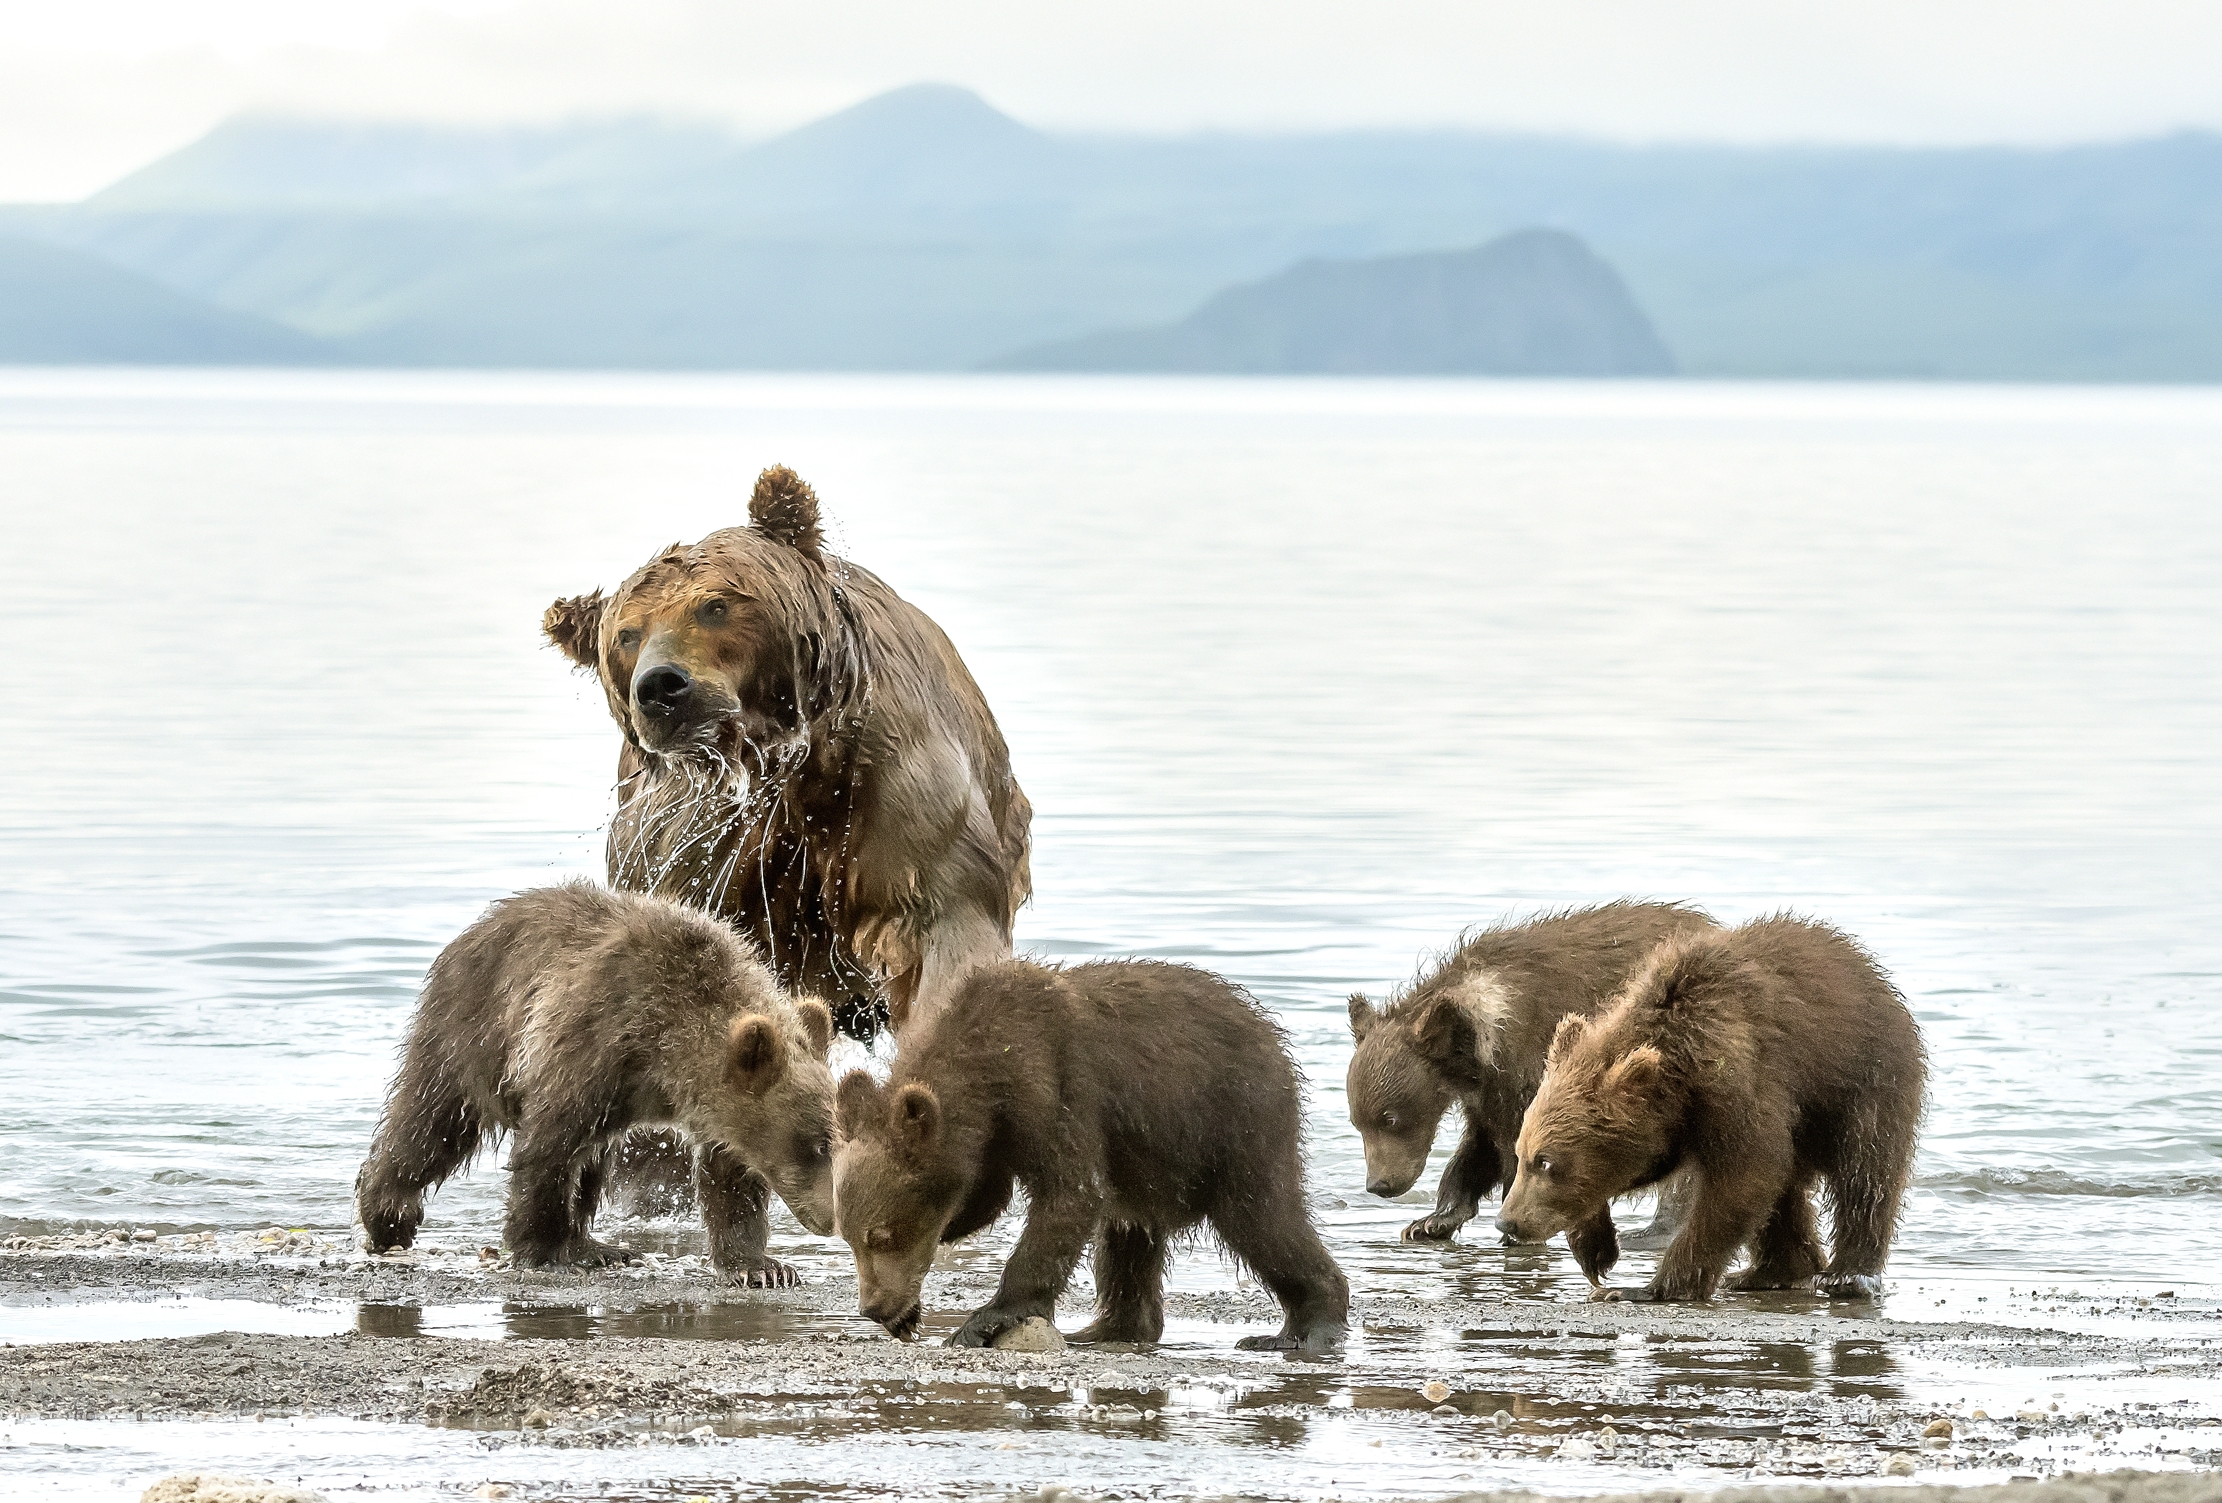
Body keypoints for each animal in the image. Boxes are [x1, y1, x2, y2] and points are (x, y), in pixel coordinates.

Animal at [542, 464, 1026, 1040]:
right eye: (626, 635)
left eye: (715, 605)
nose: (660, 686)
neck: (784, 762)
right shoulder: (696, 841)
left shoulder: (893, 782)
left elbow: (939, 924)